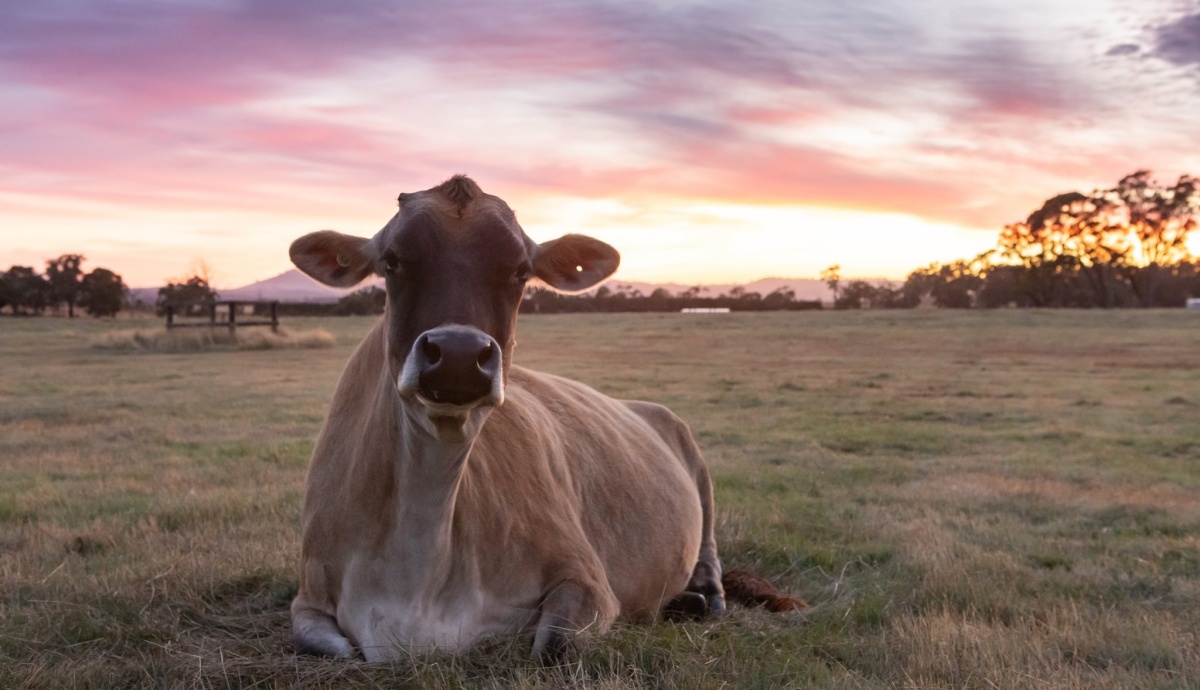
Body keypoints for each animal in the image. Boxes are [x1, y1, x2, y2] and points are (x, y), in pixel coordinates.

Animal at [288, 175, 720, 662]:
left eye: (519, 270)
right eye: (392, 261)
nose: (457, 356)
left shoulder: (587, 579)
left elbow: (554, 643)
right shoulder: (308, 596)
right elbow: (328, 646)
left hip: (694, 461)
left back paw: (703, 596)